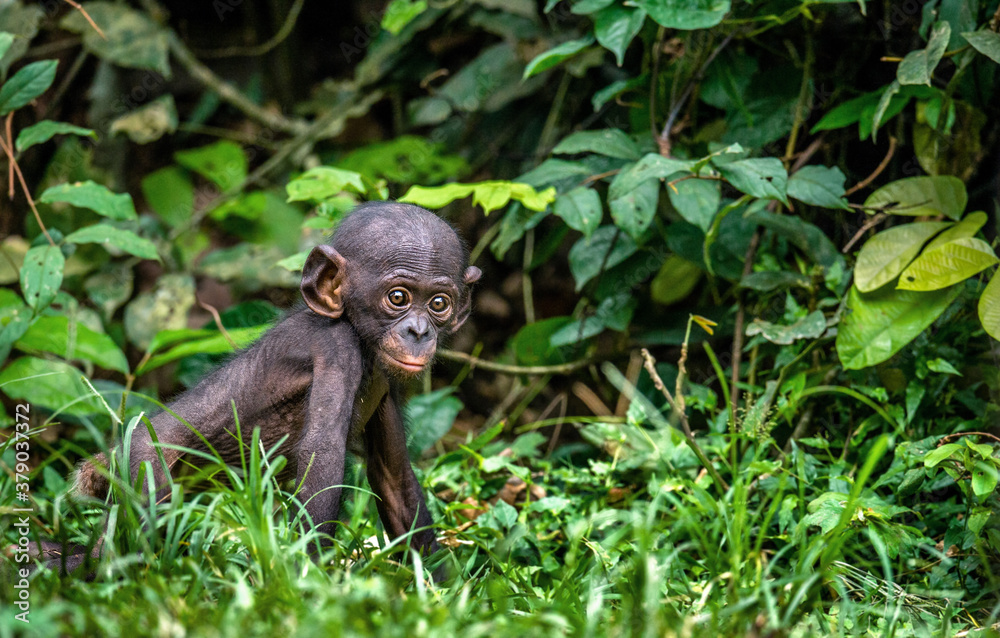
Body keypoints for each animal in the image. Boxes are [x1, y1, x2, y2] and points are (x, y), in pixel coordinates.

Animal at [26, 201, 481, 572]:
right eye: (398, 297)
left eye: (438, 304)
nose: (419, 331)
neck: (359, 335)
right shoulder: (336, 349)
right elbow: (321, 458)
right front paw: (312, 583)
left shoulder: (389, 382)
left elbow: (393, 476)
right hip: (140, 467)